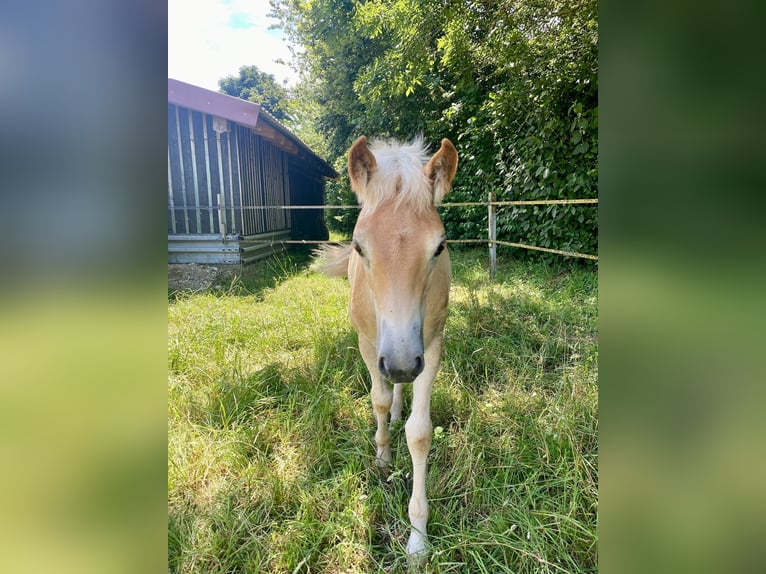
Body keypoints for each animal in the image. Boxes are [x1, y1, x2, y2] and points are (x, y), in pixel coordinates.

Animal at [322, 137, 460, 560]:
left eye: (439, 247)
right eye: (358, 246)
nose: (400, 363)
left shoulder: (430, 347)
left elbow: (419, 432)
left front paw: (417, 537)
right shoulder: (370, 345)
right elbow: (378, 401)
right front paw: (382, 457)